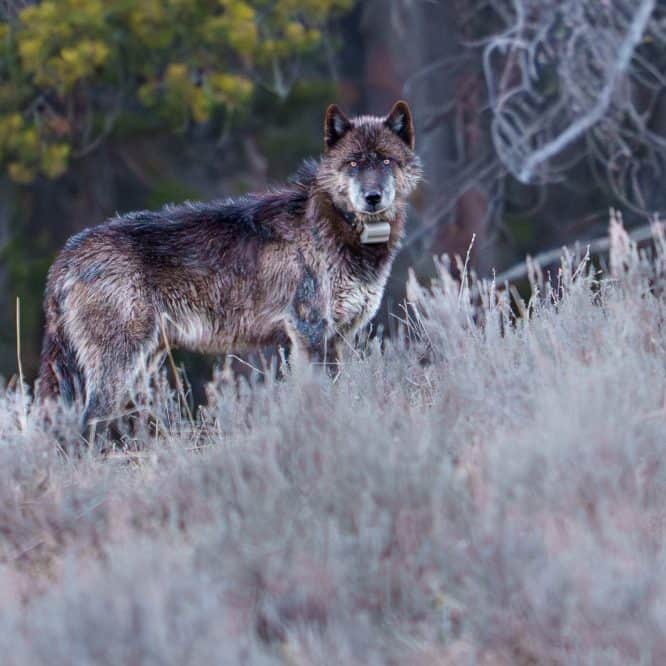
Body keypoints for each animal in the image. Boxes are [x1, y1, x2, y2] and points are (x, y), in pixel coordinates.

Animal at [37, 101, 422, 433]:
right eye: (354, 164)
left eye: (385, 161)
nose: (372, 198)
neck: (336, 226)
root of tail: (66, 255)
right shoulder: (309, 331)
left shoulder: (339, 337)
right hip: (118, 367)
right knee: (87, 423)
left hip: (142, 365)